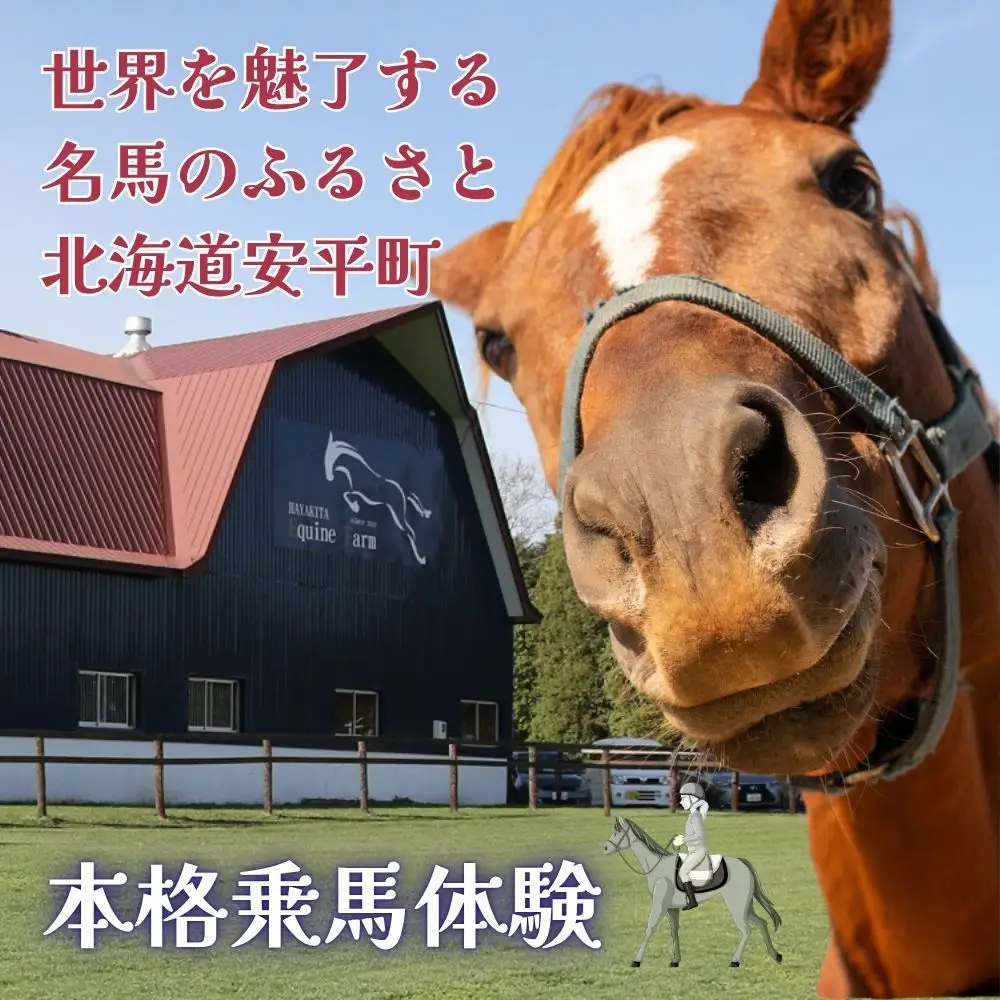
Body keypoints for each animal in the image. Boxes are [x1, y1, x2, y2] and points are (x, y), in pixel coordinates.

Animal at [602, 815, 783, 969]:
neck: (657, 866)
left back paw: (735, 961)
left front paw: (636, 961)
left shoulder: (659, 906)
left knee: (746, 930)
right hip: (745, 905)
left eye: (617, 832)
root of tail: (743, 863)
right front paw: (675, 960)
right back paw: (776, 955)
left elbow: (650, 929)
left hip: (736, 905)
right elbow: (674, 932)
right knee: (761, 923)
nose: (604, 847)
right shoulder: (671, 909)